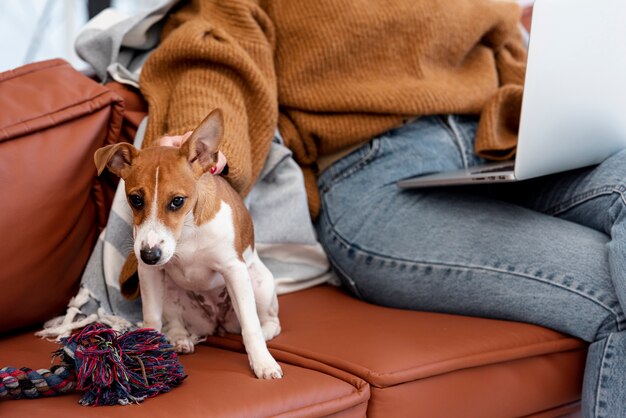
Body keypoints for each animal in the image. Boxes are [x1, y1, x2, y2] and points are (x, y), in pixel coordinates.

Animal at [94, 108, 282, 378]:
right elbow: (152, 318)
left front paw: (262, 363)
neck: (187, 232)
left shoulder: (234, 270)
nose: (149, 255)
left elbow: (250, 325)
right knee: (174, 321)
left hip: (259, 284)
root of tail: (218, 323)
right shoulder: (150, 274)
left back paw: (266, 334)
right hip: (171, 292)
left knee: (268, 321)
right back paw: (179, 339)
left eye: (178, 201)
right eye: (135, 199)